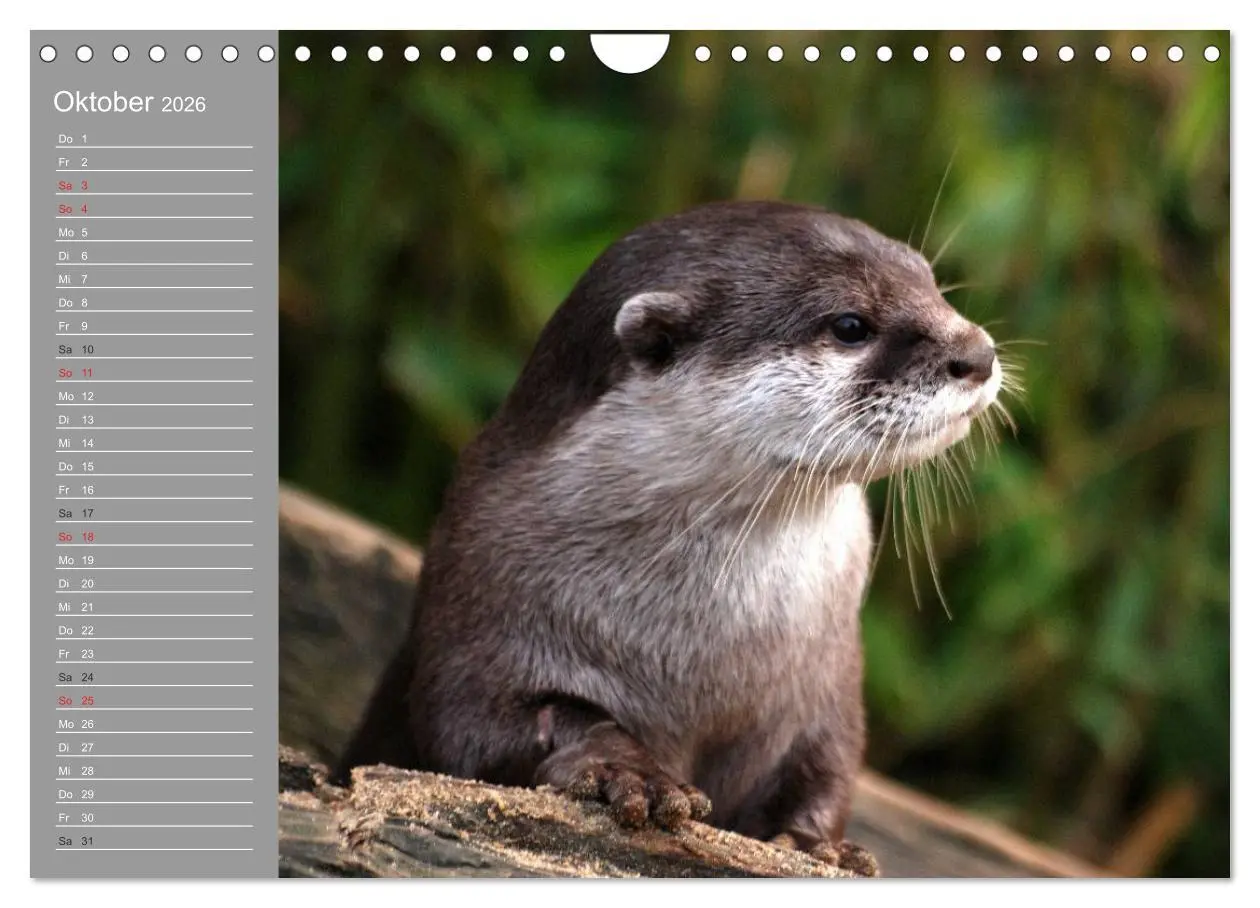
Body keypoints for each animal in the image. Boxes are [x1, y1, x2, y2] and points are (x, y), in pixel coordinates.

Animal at [336, 200, 1004, 863]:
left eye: (930, 282)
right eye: (849, 324)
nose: (977, 354)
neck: (704, 653)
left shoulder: (828, 685)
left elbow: (828, 766)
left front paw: (819, 844)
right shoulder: (477, 597)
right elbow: (477, 726)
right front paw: (626, 771)